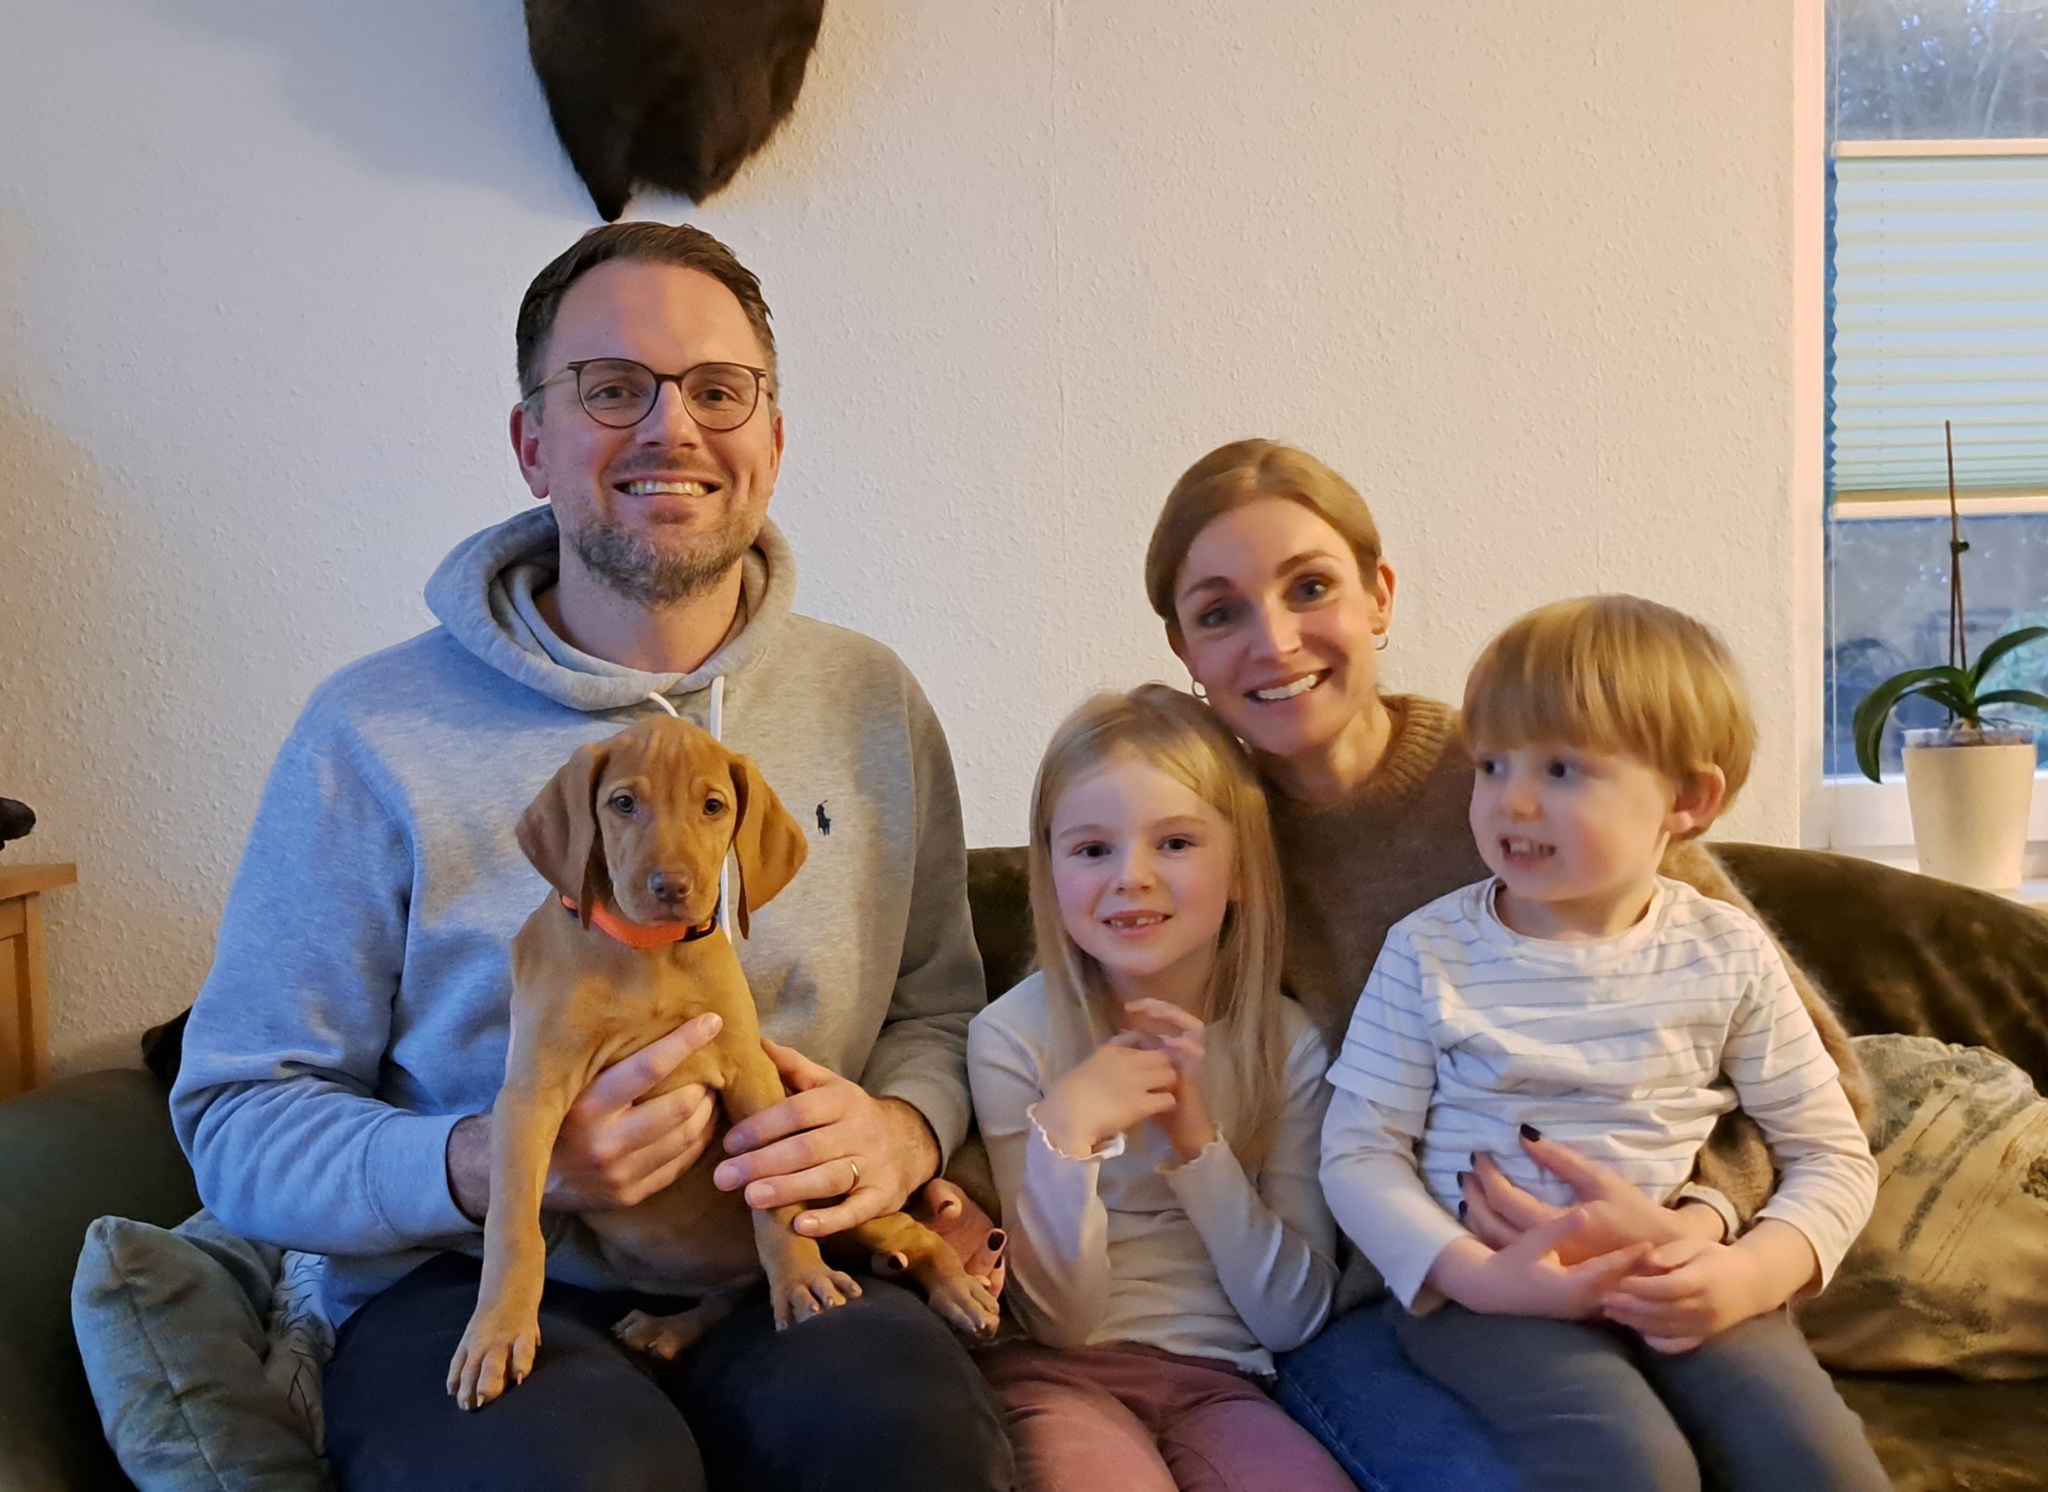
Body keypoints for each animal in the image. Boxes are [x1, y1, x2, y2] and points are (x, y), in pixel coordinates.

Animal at [448, 714, 1000, 1410]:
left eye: (713, 807)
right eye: (623, 803)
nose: (672, 888)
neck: (648, 952)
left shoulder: (752, 1076)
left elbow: (777, 1201)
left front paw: (801, 1280)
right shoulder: (529, 1096)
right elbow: (515, 1228)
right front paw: (497, 1335)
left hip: (850, 1200)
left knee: (914, 1236)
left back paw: (959, 1293)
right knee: (732, 1291)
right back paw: (667, 1328)